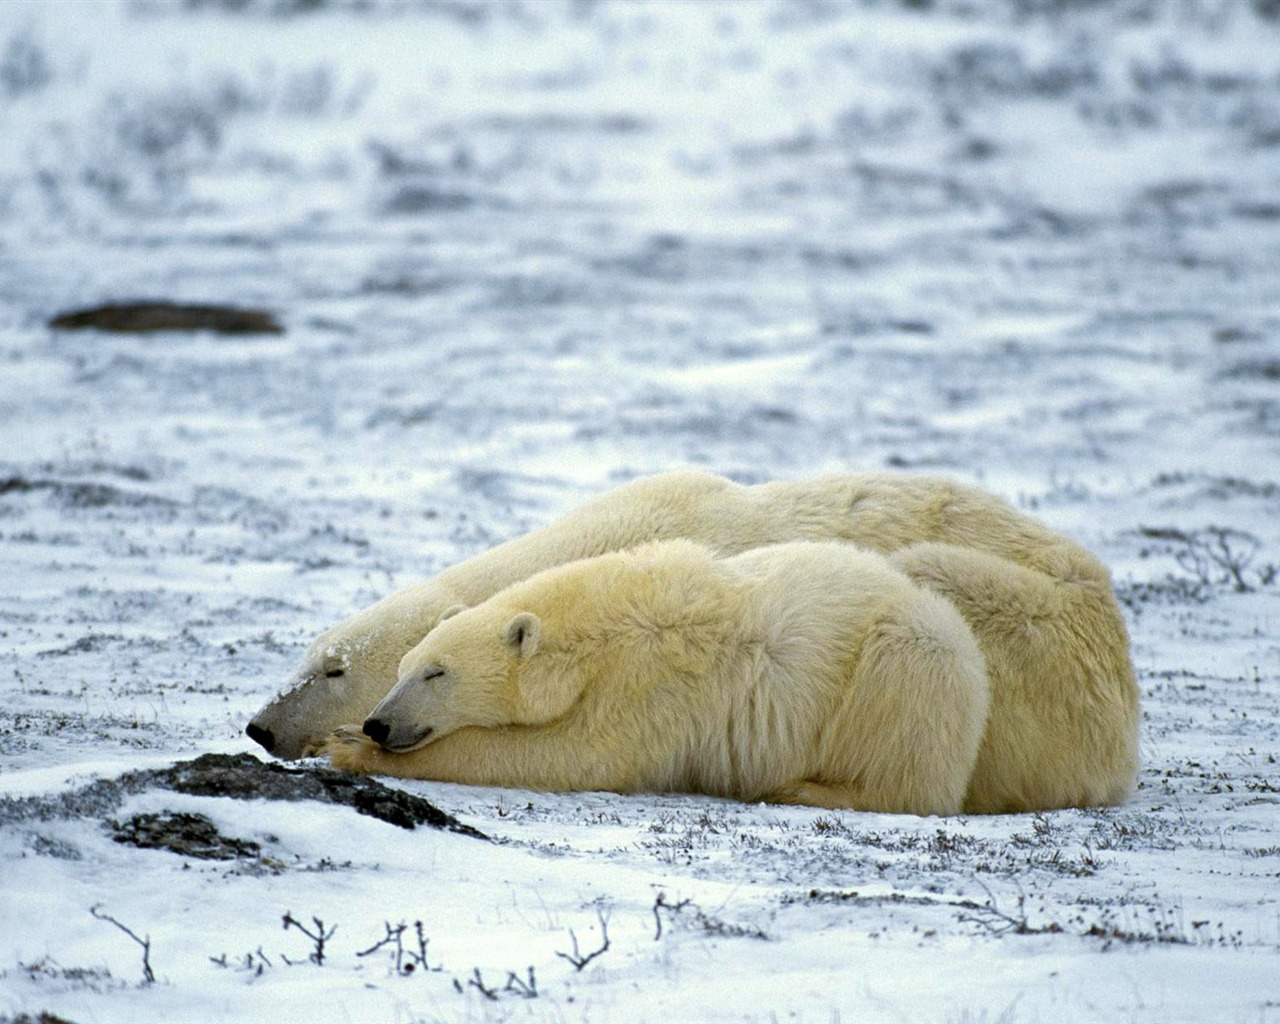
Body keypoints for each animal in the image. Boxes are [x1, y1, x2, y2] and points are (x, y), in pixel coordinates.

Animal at [325, 540, 993, 819]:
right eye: (402, 667)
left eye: (436, 672)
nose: (377, 722)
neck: (598, 630)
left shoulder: (652, 684)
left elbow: (578, 754)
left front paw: (346, 746)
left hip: (907, 668)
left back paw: (803, 790)